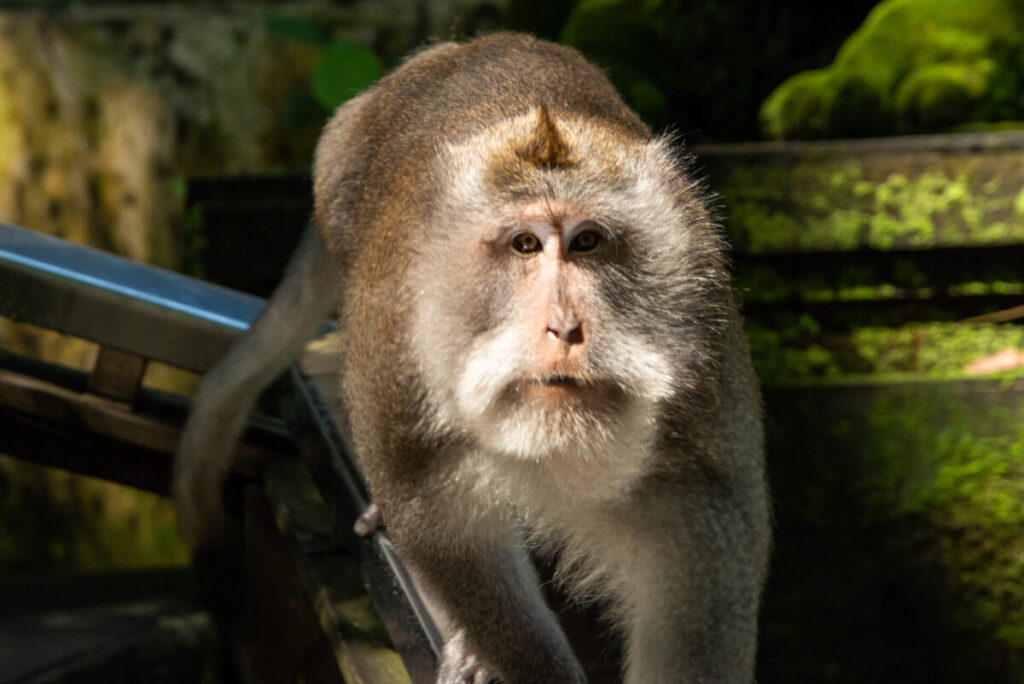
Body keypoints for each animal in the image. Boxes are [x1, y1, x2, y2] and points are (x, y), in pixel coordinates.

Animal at [174, 32, 770, 684]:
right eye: (525, 244)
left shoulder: (703, 365)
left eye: (587, 241)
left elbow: (702, 531)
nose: (566, 327)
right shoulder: (402, 353)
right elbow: (433, 515)